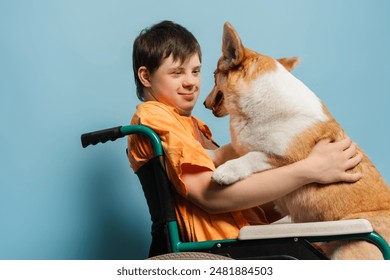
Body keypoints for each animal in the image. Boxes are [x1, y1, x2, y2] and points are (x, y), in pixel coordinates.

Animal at [204, 22, 390, 260]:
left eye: (213, 75)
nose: (203, 103)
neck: (257, 101)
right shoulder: (239, 144)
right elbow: (226, 150)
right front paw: (206, 153)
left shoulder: (284, 158)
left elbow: (251, 156)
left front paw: (225, 172)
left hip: (350, 249)